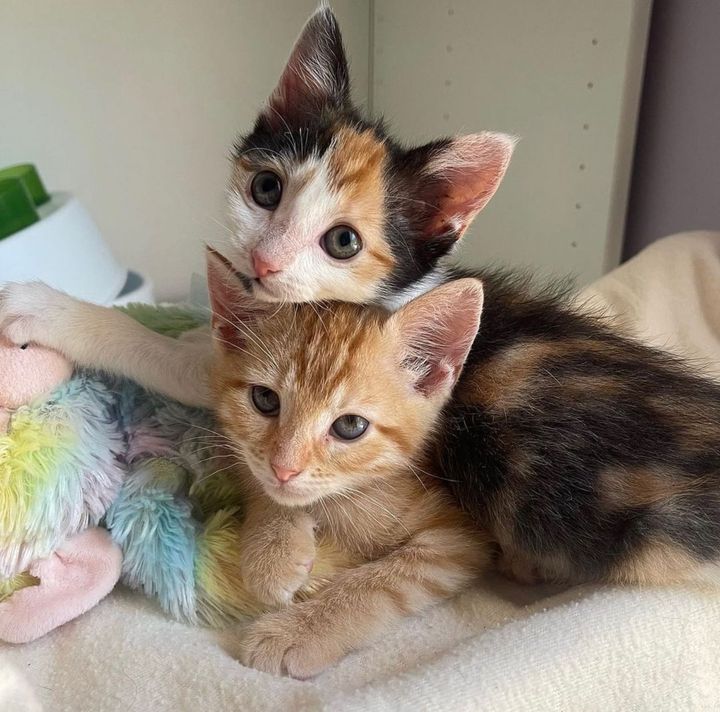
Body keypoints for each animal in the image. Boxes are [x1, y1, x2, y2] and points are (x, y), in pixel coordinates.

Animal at [205, 252, 492, 680]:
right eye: (264, 400)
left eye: (350, 426)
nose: (284, 469)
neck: (351, 495)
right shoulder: (244, 452)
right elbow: (258, 479)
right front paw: (273, 549)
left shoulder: (461, 538)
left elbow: (386, 583)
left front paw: (301, 631)